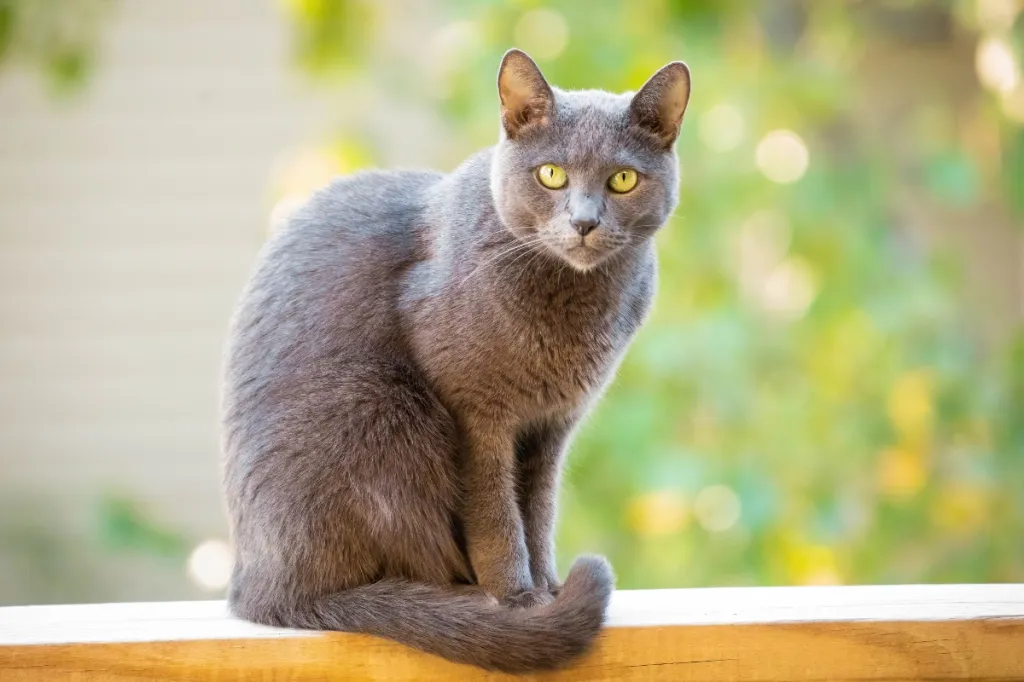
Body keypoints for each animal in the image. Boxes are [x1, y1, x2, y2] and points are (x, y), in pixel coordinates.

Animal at [220, 47, 692, 667]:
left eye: (622, 179)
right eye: (551, 174)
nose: (584, 222)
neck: (573, 308)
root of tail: (258, 589)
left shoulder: (551, 426)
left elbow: (537, 511)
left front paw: (546, 587)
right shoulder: (474, 413)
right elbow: (496, 515)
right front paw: (518, 600)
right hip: (386, 404)